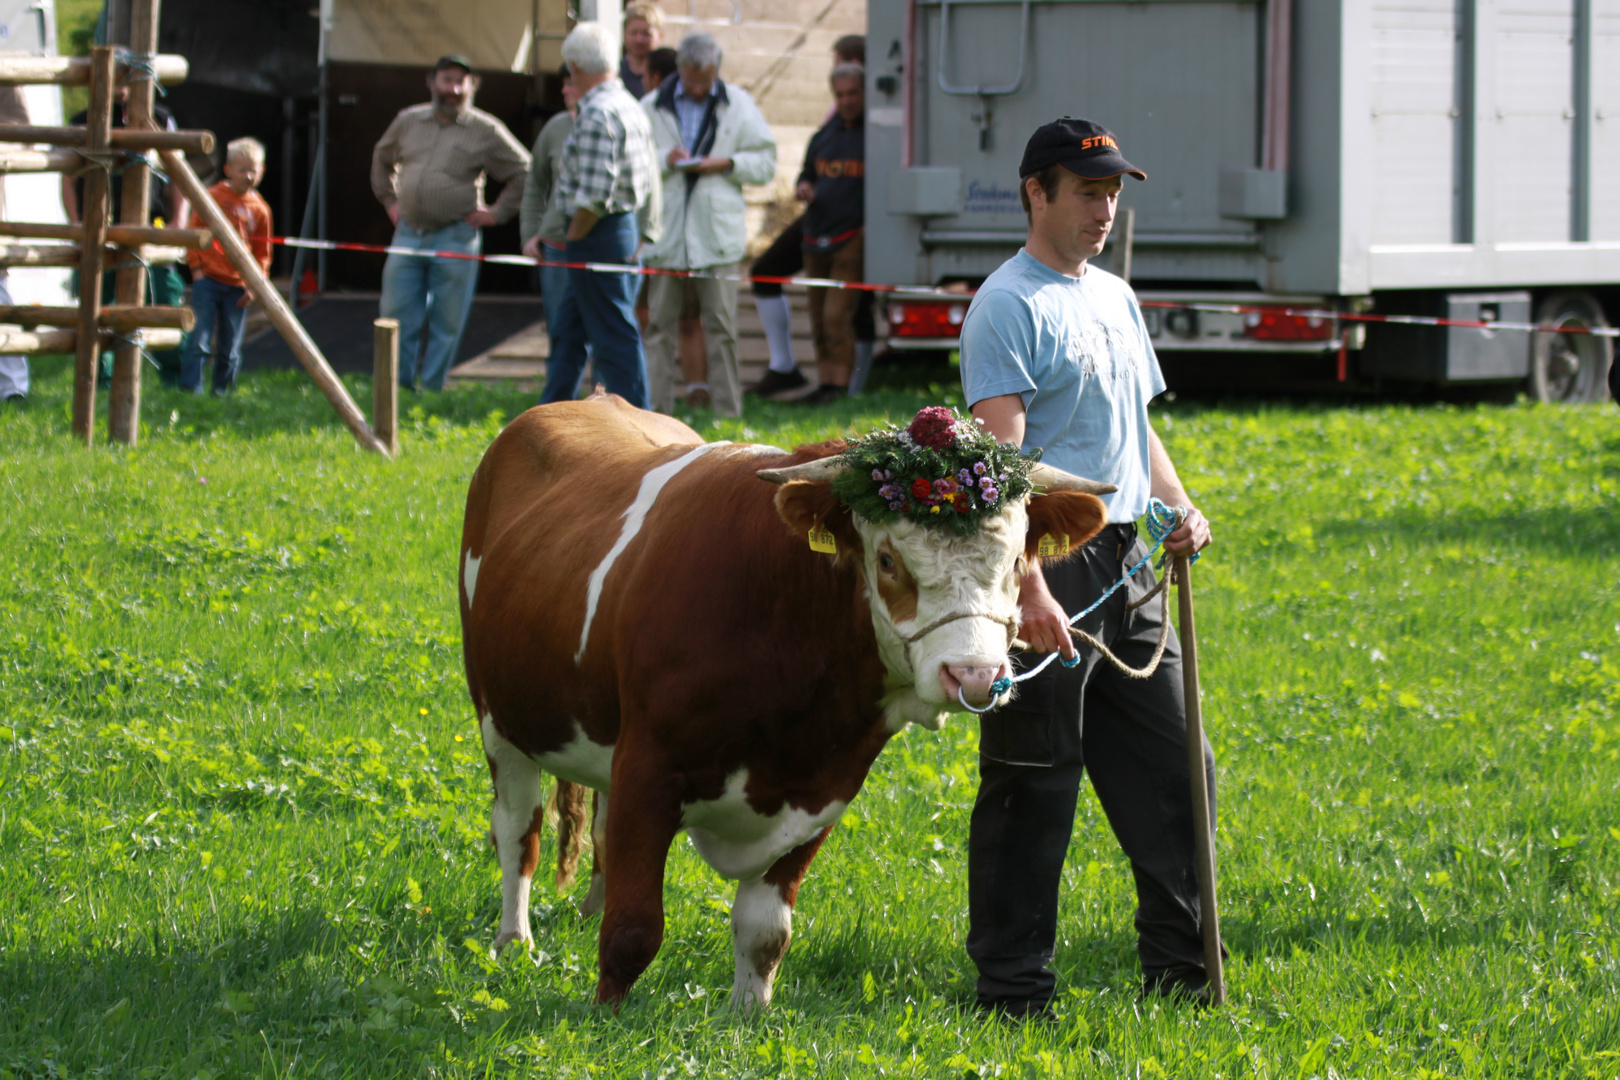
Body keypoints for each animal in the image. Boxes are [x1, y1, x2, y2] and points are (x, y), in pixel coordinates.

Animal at [456, 395, 1114, 1003]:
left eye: (1017, 560)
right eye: (886, 559)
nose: (974, 675)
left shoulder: (823, 788)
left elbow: (764, 930)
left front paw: (745, 1019)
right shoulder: (649, 769)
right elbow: (633, 928)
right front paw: (606, 1018)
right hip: (496, 715)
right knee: (518, 830)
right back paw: (513, 941)